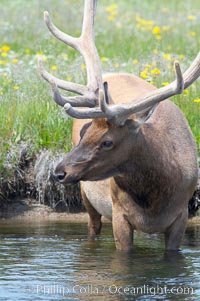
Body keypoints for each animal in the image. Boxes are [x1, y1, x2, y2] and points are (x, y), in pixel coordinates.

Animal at [38, 0, 199, 251]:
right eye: (84, 132)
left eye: (107, 142)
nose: (59, 172)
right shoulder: (119, 213)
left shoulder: (181, 216)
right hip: (86, 194)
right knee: (93, 227)